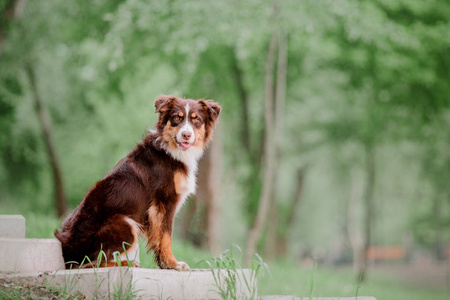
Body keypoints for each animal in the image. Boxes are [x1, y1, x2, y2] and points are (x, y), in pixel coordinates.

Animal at [55, 95, 221, 270]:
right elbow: (166, 237)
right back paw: (128, 263)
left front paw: (164, 263)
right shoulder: (164, 202)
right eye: (177, 118)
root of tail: (65, 248)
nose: (186, 135)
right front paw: (172, 263)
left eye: (196, 120)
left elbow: (160, 238)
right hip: (125, 223)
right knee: (90, 263)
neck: (170, 150)